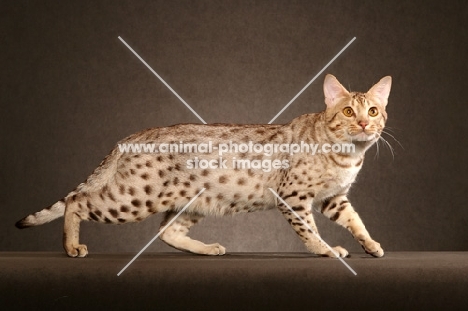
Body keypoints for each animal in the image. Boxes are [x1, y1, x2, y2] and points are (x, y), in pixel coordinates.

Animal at [16, 75, 390, 258]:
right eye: (347, 112)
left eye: (373, 111)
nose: (363, 124)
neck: (348, 154)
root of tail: (134, 135)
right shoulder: (294, 197)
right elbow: (309, 231)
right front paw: (326, 251)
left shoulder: (333, 198)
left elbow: (356, 221)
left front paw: (370, 245)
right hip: (135, 197)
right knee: (77, 201)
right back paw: (71, 248)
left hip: (194, 202)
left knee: (167, 231)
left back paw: (208, 249)